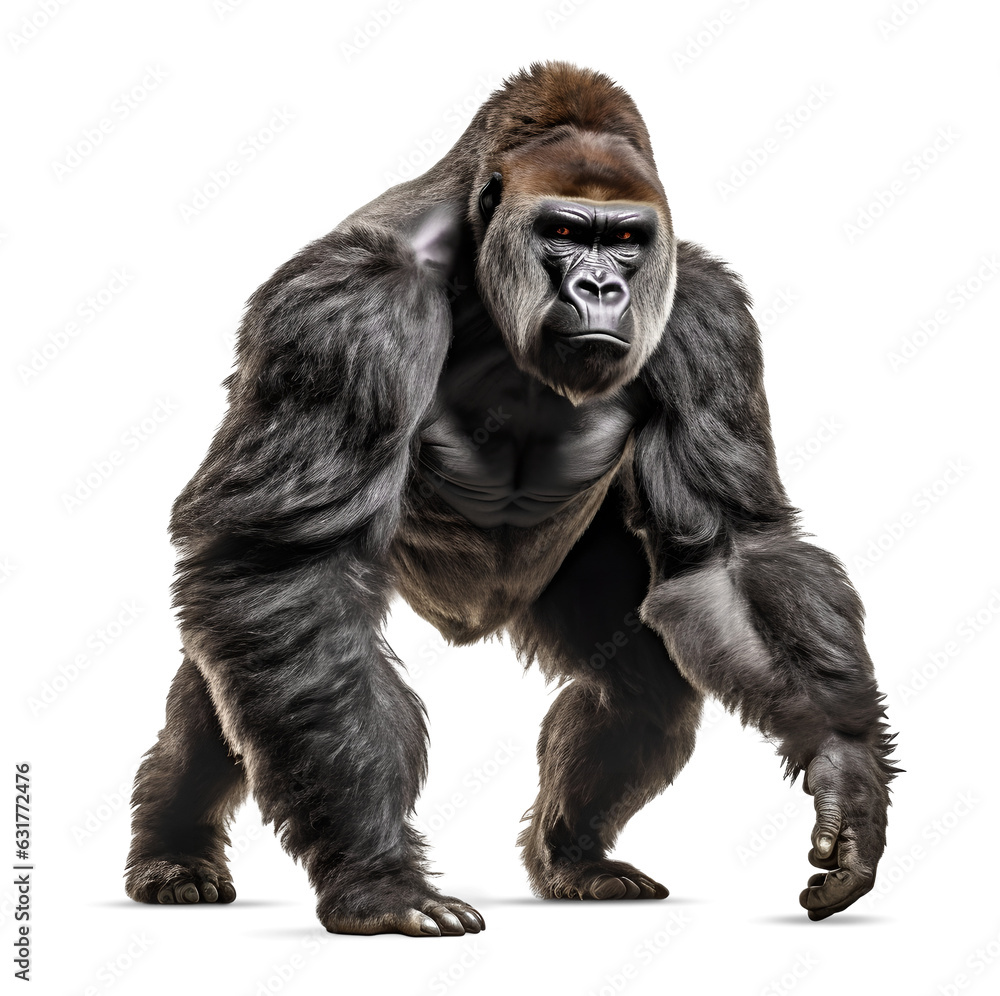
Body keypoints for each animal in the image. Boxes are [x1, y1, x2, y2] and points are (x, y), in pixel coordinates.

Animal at [125, 62, 898, 935]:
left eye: (625, 241)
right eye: (563, 231)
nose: (601, 286)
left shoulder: (706, 314)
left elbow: (734, 555)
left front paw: (844, 764)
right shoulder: (348, 306)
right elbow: (289, 568)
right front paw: (378, 876)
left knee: (639, 685)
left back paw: (575, 855)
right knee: (245, 655)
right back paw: (173, 849)